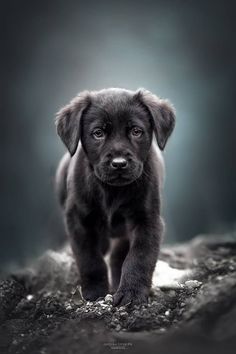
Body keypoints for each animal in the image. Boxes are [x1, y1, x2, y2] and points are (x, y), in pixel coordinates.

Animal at [54, 89, 174, 306]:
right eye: (98, 133)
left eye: (136, 131)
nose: (119, 163)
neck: (111, 191)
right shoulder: (78, 220)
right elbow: (89, 258)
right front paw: (95, 292)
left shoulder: (147, 220)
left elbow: (139, 257)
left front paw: (131, 294)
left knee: (119, 256)